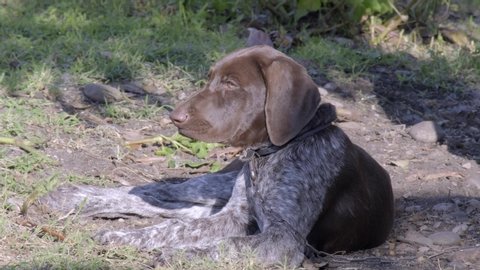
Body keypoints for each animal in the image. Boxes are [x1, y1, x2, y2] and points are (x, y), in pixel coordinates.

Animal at [41, 45, 394, 266]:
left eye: (230, 84)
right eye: (209, 79)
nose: (174, 117)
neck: (268, 156)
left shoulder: (281, 239)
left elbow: (210, 240)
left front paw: (179, 255)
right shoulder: (237, 217)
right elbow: (174, 230)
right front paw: (124, 236)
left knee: (175, 211)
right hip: (214, 184)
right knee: (160, 192)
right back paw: (68, 197)